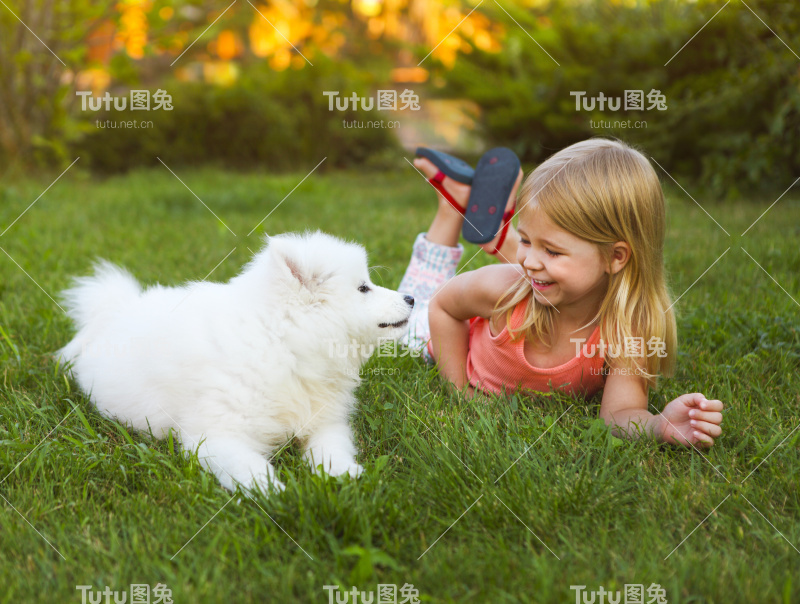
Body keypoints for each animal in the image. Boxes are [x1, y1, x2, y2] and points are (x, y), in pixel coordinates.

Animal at [59, 231, 416, 496]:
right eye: (363, 288)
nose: (411, 298)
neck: (282, 345)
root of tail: (115, 310)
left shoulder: (324, 421)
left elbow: (332, 447)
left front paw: (343, 474)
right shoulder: (216, 435)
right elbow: (250, 467)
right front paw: (276, 493)